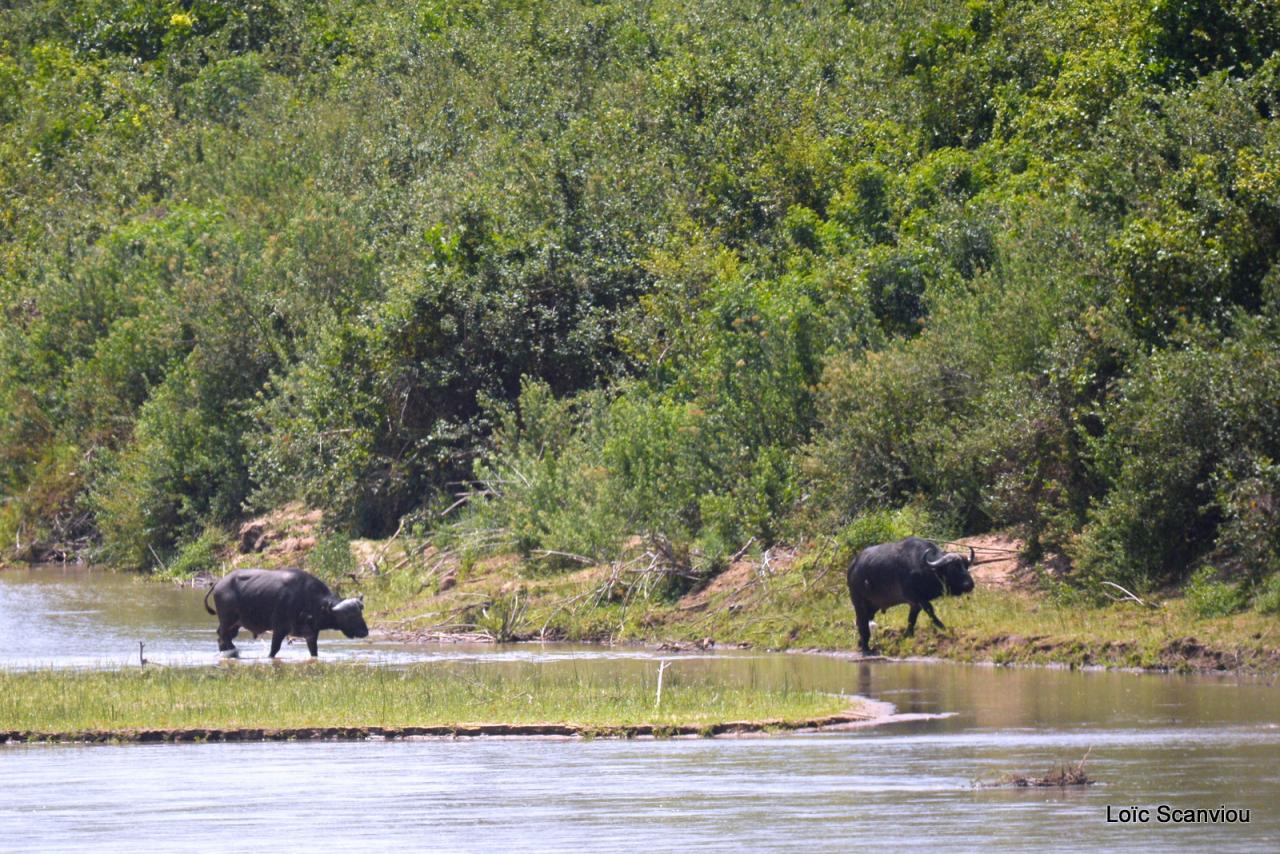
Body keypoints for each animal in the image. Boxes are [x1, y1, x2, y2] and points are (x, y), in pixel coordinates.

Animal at [202, 571, 368, 660]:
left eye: (360, 613)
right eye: (348, 616)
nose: (365, 632)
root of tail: (219, 583)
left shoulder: (311, 634)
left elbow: (314, 652)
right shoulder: (279, 629)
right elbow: (273, 650)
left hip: (235, 625)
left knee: (224, 638)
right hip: (227, 621)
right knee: (222, 637)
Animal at [844, 540, 972, 655]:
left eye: (965, 566)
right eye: (953, 568)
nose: (969, 584)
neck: (925, 568)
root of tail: (852, 567)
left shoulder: (915, 604)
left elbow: (912, 619)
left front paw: (908, 634)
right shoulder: (918, 598)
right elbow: (930, 610)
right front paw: (942, 626)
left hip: (872, 607)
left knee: (863, 622)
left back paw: (861, 643)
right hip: (859, 603)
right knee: (862, 623)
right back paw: (866, 649)